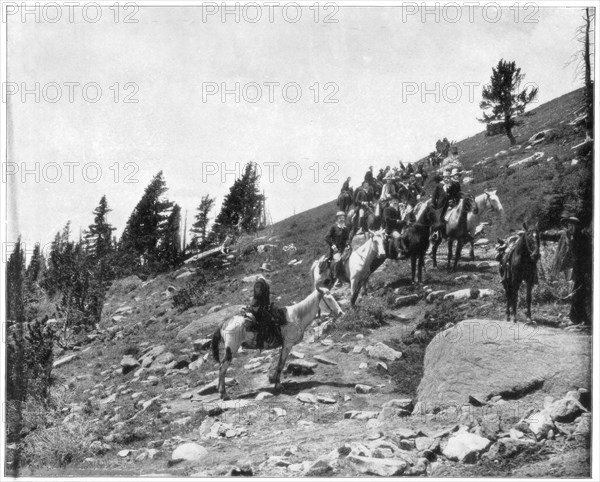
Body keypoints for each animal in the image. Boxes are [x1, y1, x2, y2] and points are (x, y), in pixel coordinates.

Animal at [211, 286, 344, 400]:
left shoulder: (284, 346)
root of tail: (224, 323)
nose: (341, 313)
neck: (297, 317)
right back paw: (224, 394)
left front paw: (275, 382)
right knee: (222, 368)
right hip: (231, 350)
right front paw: (278, 386)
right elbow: (281, 364)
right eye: (328, 298)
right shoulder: (287, 345)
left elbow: (280, 363)